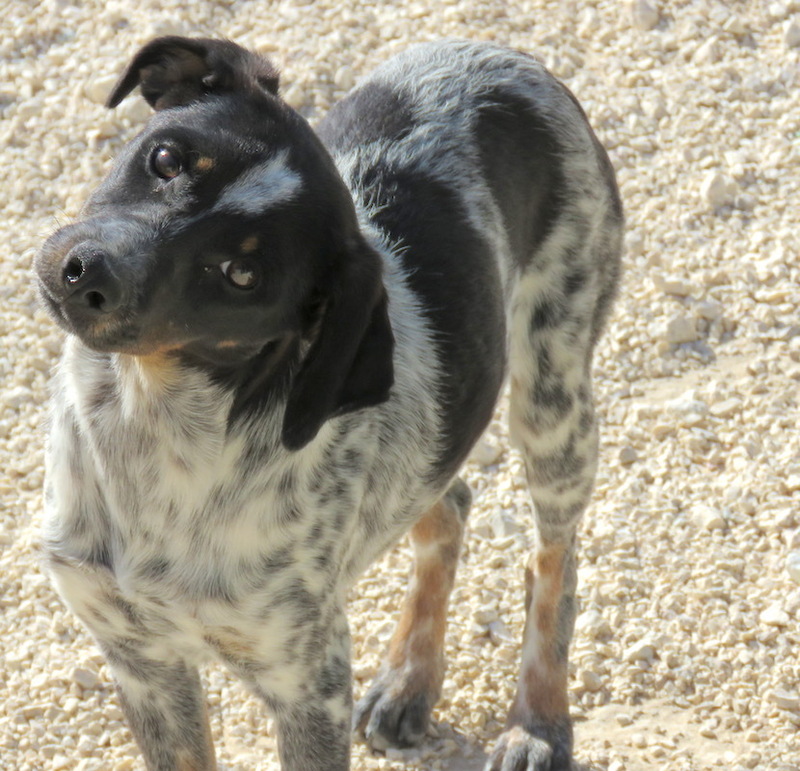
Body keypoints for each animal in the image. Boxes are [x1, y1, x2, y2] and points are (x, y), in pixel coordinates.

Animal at [36, 37, 624, 771]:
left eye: (242, 275)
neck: (148, 433)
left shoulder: (309, 682)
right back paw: (409, 680)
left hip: (554, 400)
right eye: (166, 158)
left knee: (553, 561)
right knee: (450, 504)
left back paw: (538, 722)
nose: (85, 272)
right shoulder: (141, 659)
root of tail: (502, 53)